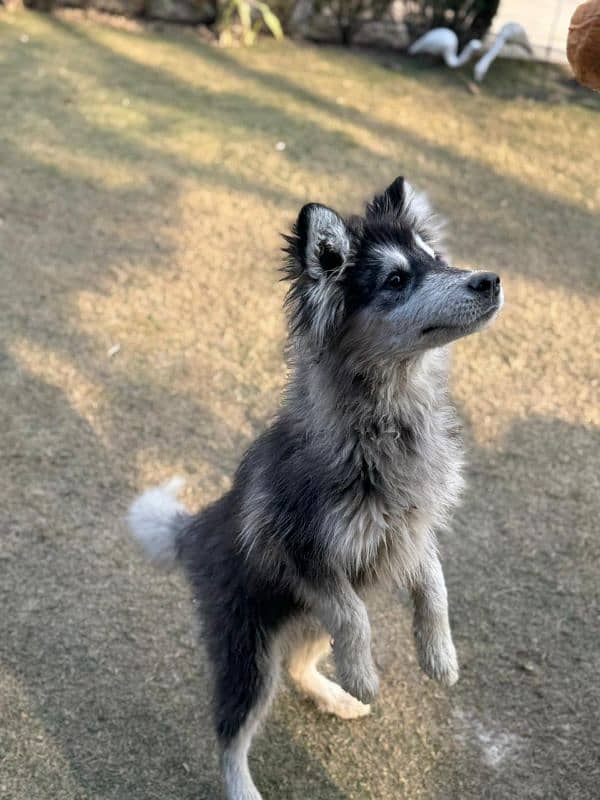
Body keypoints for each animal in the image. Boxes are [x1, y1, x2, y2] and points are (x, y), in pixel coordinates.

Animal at [129, 177, 504, 800]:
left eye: (437, 258)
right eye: (396, 279)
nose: (491, 280)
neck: (384, 422)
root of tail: (196, 528)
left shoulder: (410, 529)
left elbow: (435, 586)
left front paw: (439, 658)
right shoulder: (302, 549)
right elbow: (354, 616)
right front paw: (367, 675)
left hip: (305, 620)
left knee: (301, 664)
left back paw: (338, 695)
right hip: (249, 650)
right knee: (231, 732)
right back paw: (250, 781)